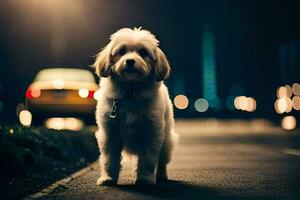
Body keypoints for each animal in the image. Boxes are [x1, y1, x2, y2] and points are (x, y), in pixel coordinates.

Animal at [92, 27, 177, 186]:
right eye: (121, 51)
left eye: (143, 52)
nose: (130, 61)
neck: (131, 93)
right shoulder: (109, 133)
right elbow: (109, 159)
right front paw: (108, 177)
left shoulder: (152, 133)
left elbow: (148, 159)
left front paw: (144, 179)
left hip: (167, 140)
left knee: (162, 160)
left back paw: (162, 175)